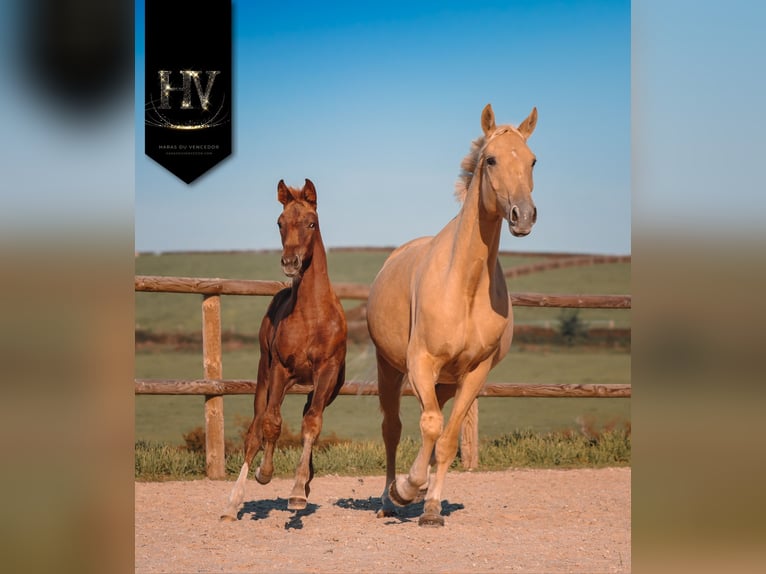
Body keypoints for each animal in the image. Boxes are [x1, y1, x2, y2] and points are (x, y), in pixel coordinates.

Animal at [221, 178, 347, 520]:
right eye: (279, 223)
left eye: (311, 223)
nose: (290, 263)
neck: (312, 315)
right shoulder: (280, 368)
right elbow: (272, 423)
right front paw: (265, 474)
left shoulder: (327, 373)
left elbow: (312, 424)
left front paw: (299, 491)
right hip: (265, 375)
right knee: (255, 430)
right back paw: (233, 503)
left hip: (319, 387)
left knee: (307, 415)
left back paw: (306, 481)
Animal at [366, 104, 538, 527]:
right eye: (491, 159)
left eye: (532, 160)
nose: (523, 216)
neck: (464, 287)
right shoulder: (420, 362)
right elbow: (427, 426)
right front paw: (407, 488)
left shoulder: (475, 372)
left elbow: (445, 439)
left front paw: (430, 506)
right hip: (390, 368)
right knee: (392, 429)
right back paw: (388, 498)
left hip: (444, 383)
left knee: (435, 429)